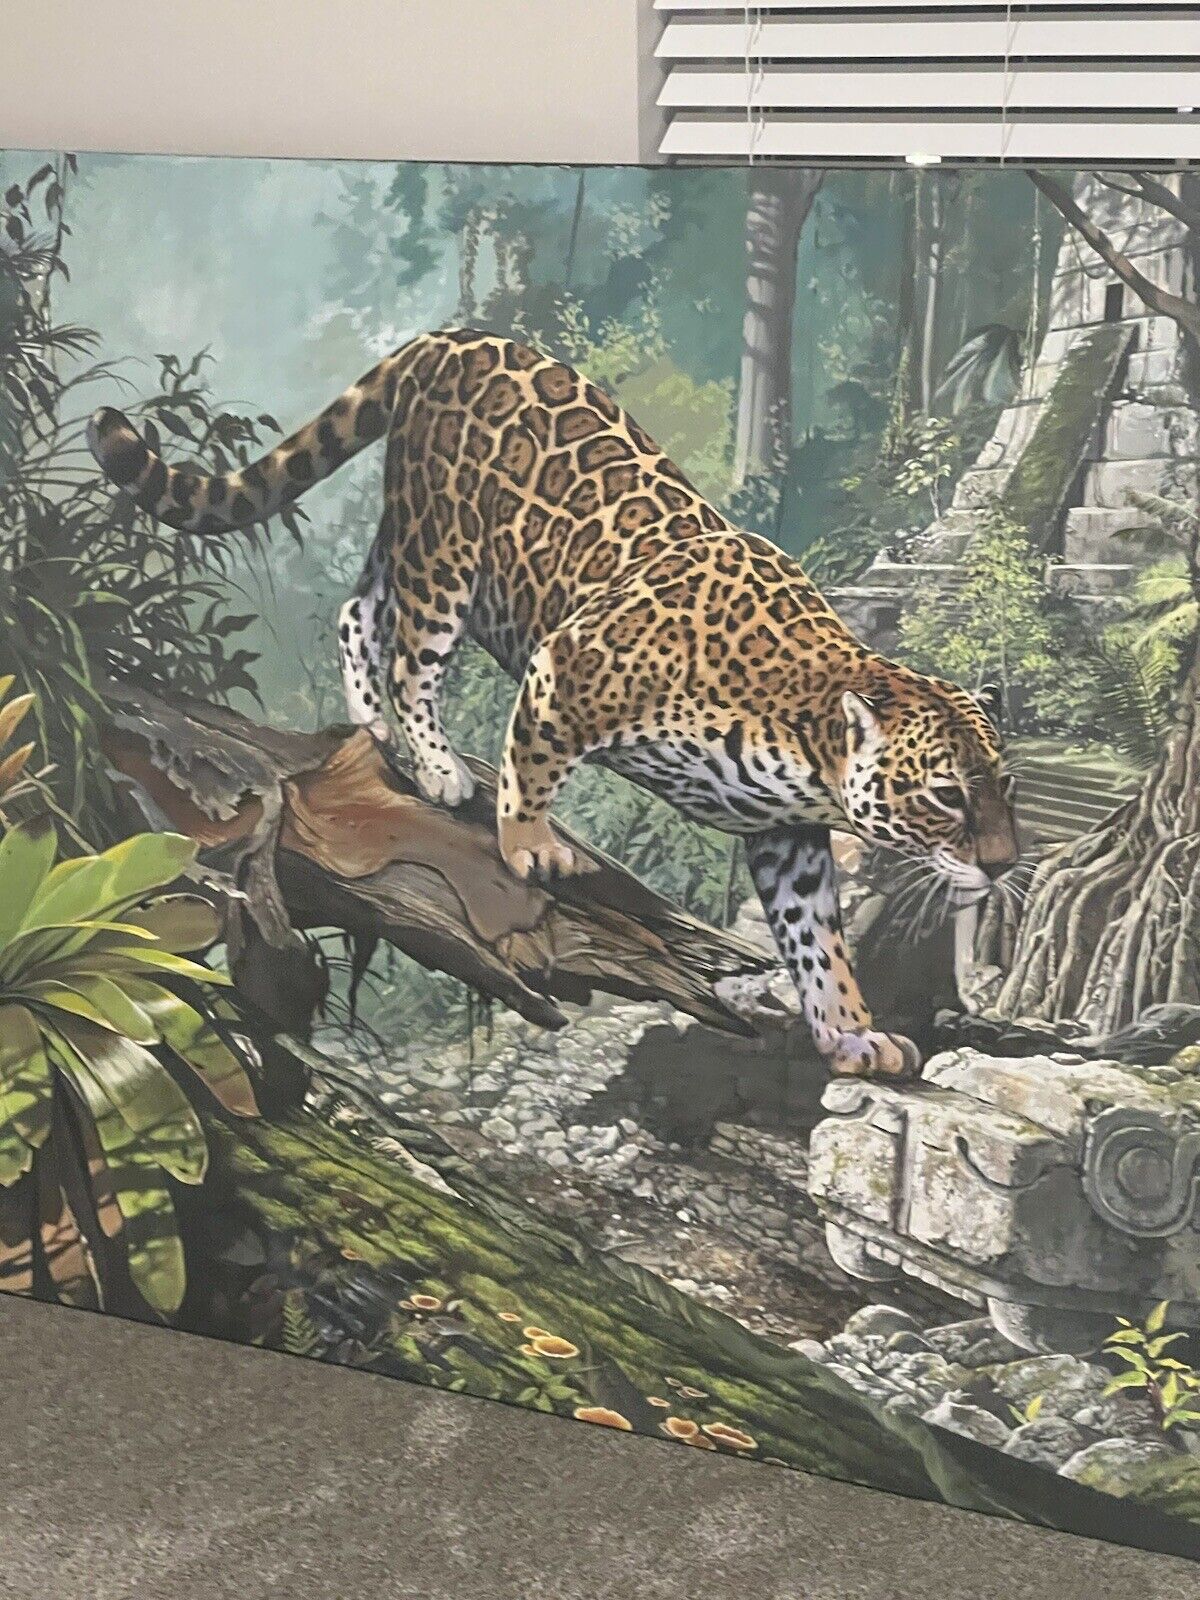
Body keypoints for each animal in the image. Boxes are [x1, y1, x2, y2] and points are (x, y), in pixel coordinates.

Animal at [89, 328, 1019, 1081]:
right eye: (946, 795)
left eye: (1005, 786)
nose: (1006, 866)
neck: (805, 732)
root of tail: (450, 337)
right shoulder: (567, 665)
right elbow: (533, 764)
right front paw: (530, 847)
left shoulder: (786, 838)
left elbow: (817, 941)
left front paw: (852, 1035)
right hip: (446, 548)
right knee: (410, 653)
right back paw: (431, 762)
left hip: (416, 542)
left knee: (359, 612)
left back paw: (374, 729)